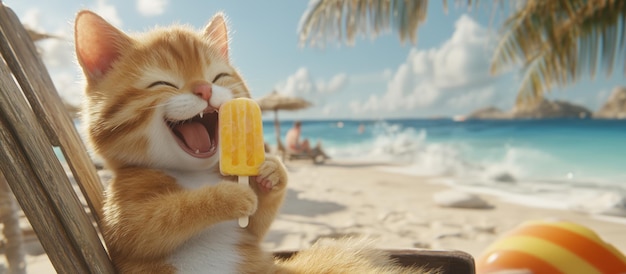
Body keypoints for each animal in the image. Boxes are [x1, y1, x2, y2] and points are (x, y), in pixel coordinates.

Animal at [74, 9, 434, 272]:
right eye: (163, 83)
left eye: (218, 76)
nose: (204, 89)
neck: (196, 175)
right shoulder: (122, 222)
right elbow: (158, 220)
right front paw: (229, 197)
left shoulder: (250, 233)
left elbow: (255, 227)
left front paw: (272, 173)